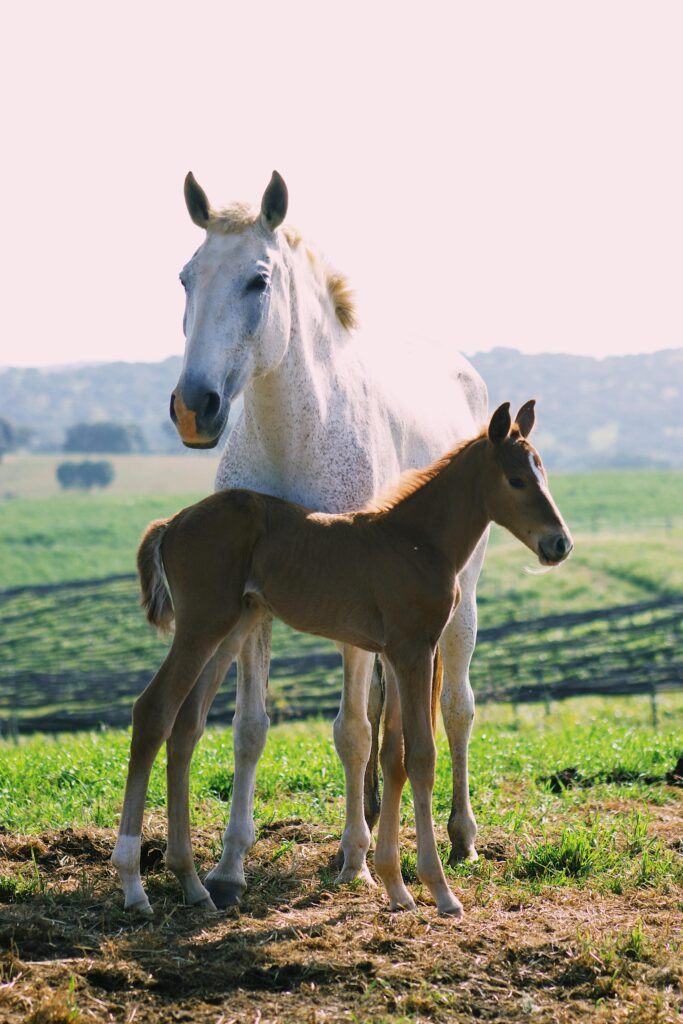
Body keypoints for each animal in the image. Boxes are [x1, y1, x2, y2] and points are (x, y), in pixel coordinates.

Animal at [112, 401, 572, 917]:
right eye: (516, 479)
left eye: (542, 472)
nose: (559, 544)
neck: (416, 539)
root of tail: (172, 523)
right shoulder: (413, 651)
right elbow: (422, 757)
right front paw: (439, 890)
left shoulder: (395, 654)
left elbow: (394, 756)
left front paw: (396, 887)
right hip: (201, 626)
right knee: (153, 711)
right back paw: (134, 884)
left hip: (230, 630)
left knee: (185, 727)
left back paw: (192, 883)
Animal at [158, 169, 490, 910]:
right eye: (186, 278)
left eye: (257, 281)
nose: (194, 407)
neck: (294, 438)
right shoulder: (254, 609)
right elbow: (250, 732)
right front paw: (228, 869)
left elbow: (352, 731)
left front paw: (360, 864)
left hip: (462, 606)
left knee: (454, 709)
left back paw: (456, 836)